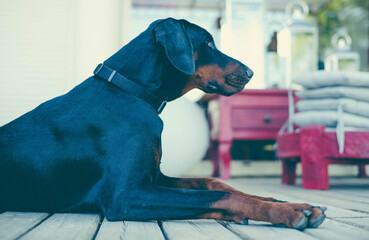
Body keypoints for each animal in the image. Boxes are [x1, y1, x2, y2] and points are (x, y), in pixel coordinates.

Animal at [0, 18, 324, 229]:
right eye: (207, 42)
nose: (251, 72)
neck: (130, 91)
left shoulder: (154, 177)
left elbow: (215, 184)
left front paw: (283, 202)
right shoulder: (126, 195)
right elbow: (219, 194)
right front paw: (289, 212)